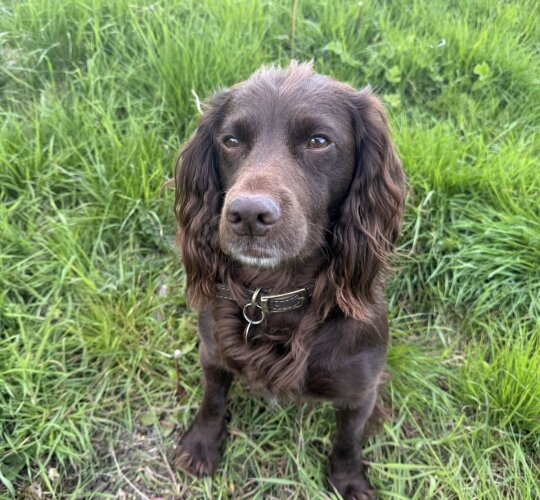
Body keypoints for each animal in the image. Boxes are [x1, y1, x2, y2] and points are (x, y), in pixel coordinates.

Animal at [173, 63, 404, 500]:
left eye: (319, 141)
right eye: (230, 141)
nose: (248, 215)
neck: (275, 291)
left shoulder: (360, 390)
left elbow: (347, 439)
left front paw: (348, 480)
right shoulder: (212, 351)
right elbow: (213, 398)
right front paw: (201, 444)